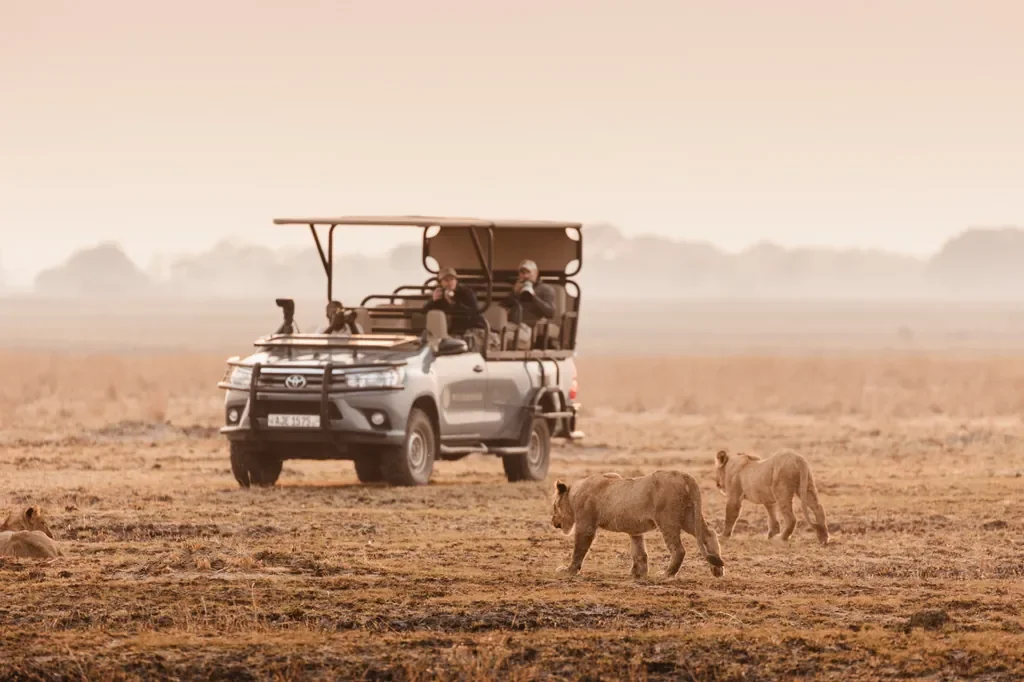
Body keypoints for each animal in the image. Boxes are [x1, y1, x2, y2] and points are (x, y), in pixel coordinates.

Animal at [550, 470, 725, 580]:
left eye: (554, 506)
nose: (552, 522)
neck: (574, 494)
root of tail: (684, 475)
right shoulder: (634, 529)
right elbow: (639, 552)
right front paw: (639, 573)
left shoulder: (586, 524)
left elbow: (578, 550)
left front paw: (568, 571)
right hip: (689, 517)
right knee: (709, 534)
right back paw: (717, 569)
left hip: (667, 520)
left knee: (679, 549)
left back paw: (666, 574)